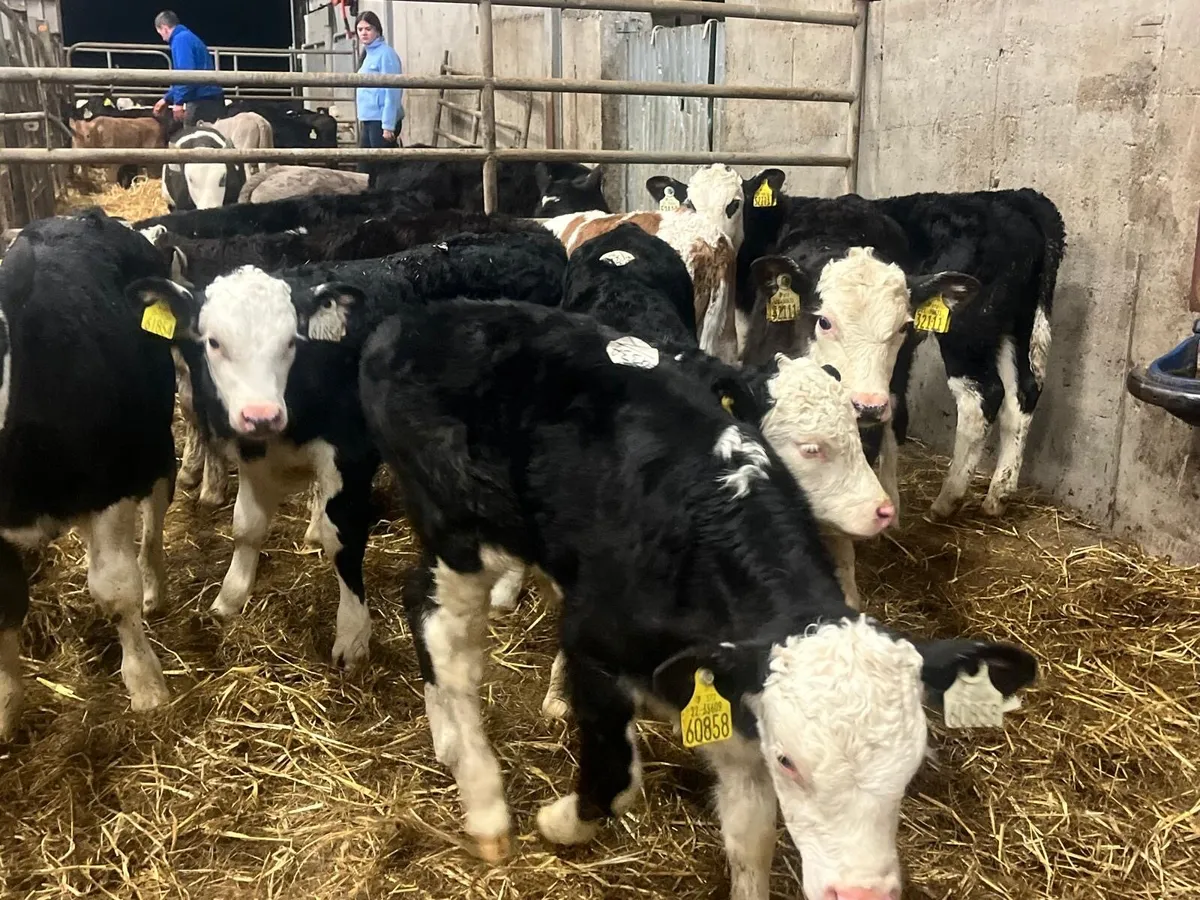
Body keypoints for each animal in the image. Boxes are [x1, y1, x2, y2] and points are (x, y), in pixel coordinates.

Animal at [0, 209, 176, 738]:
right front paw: (5, 706)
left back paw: (154, 585)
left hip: (153, 445)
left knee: (153, 523)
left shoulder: (110, 488)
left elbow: (116, 590)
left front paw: (145, 685)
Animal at [125, 231, 569, 671]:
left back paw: (507, 589)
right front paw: (230, 597)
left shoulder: (349, 455)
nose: (261, 415)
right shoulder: (253, 454)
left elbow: (343, 538)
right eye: (214, 343)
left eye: (291, 342)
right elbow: (246, 527)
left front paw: (353, 635)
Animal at [357, 295, 1039, 899]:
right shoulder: (593, 646)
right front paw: (560, 822)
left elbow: (751, 840)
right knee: (442, 632)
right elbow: (615, 776)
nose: (861, 892)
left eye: (910, 766)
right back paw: (484, 801)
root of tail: (412, 321)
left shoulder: (734, 700)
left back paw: (446, 738)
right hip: (461, 529)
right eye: (790, 761)